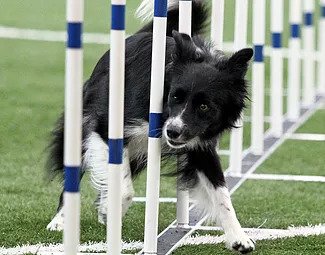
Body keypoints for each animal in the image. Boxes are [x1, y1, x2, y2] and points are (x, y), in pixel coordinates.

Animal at [46, 0, 253, 253]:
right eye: (175, 97)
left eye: (205, 106)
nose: (173, 131)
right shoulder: (106, 127)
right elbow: (125, 189)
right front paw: (109, 210)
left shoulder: (199, 145)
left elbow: (221, 192)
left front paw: (239, 238)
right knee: (74, 172)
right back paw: (61, 220)